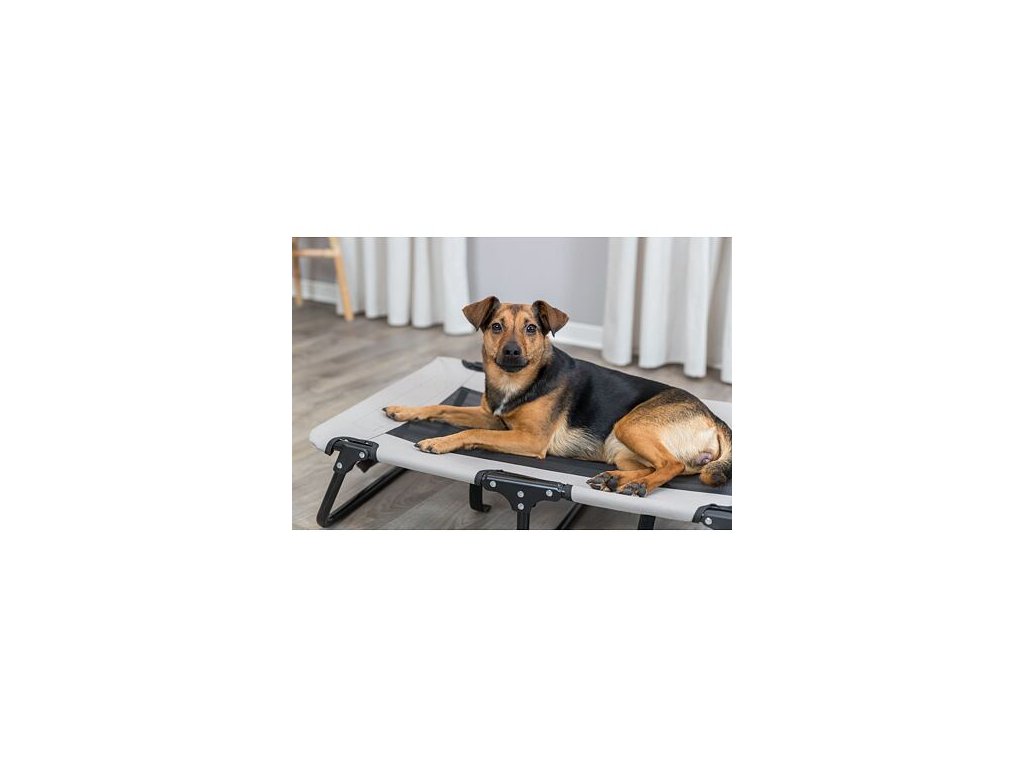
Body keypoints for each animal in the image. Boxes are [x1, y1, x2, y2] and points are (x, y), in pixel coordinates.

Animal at [383, 297, 731, 497]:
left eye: (531, 328)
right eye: (496, 327)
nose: (512, 352)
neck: (517, 382)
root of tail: (714, 418)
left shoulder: (530, 440)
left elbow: (471, 432)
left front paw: (438, 442)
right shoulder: (492, 417)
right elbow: (440, 406)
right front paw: (403, 410)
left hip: (631, 426)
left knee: (671, 465)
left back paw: (637, 486)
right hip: (620, 447)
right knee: (658, 468)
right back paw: (614, 480)